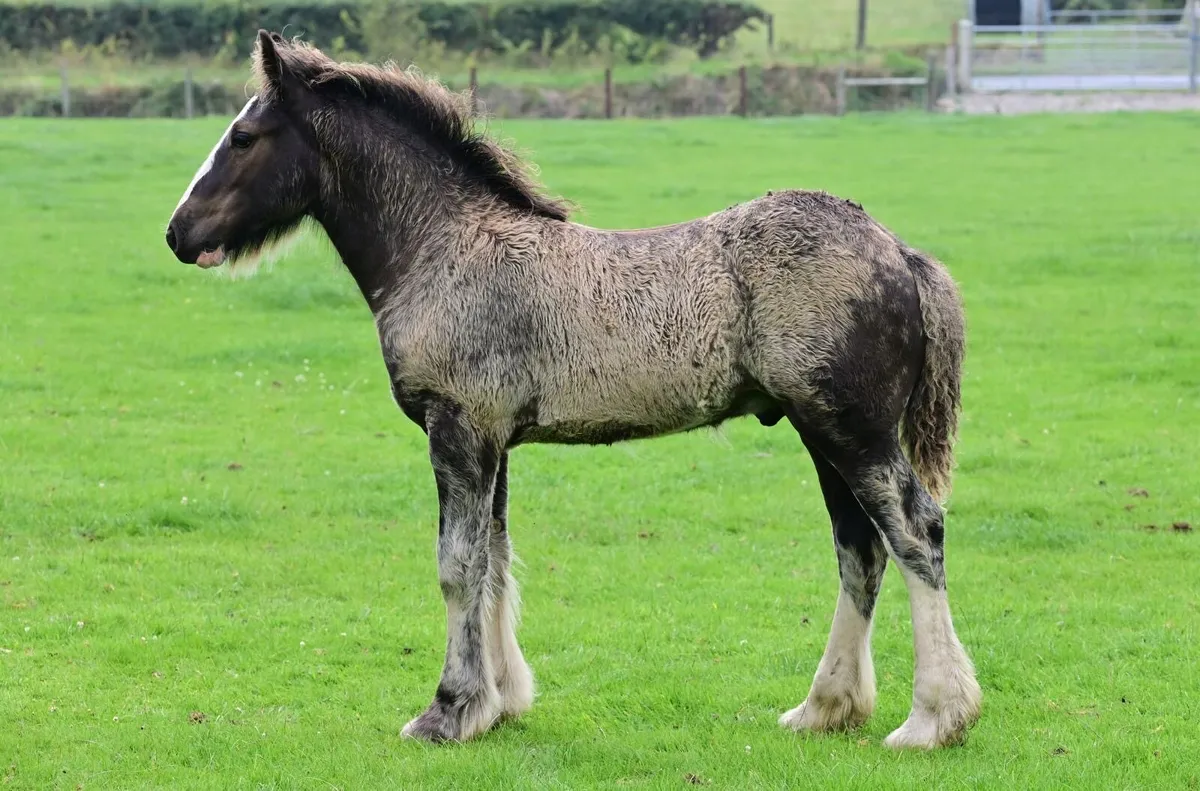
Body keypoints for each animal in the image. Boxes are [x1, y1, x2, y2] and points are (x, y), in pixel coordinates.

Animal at [164, 31, 981, 749]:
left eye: (244, 138)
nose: (178, 232)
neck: (445, 247)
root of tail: (898, 251)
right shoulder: (493, 440)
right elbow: (494, 559)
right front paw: (498, 704)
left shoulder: (458, 429)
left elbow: (457, 566)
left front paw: (448, 711)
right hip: (821, 430)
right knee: (859, 549)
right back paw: (825, 708)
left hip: (854, 431)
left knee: (915, 531)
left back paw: (933, 719)